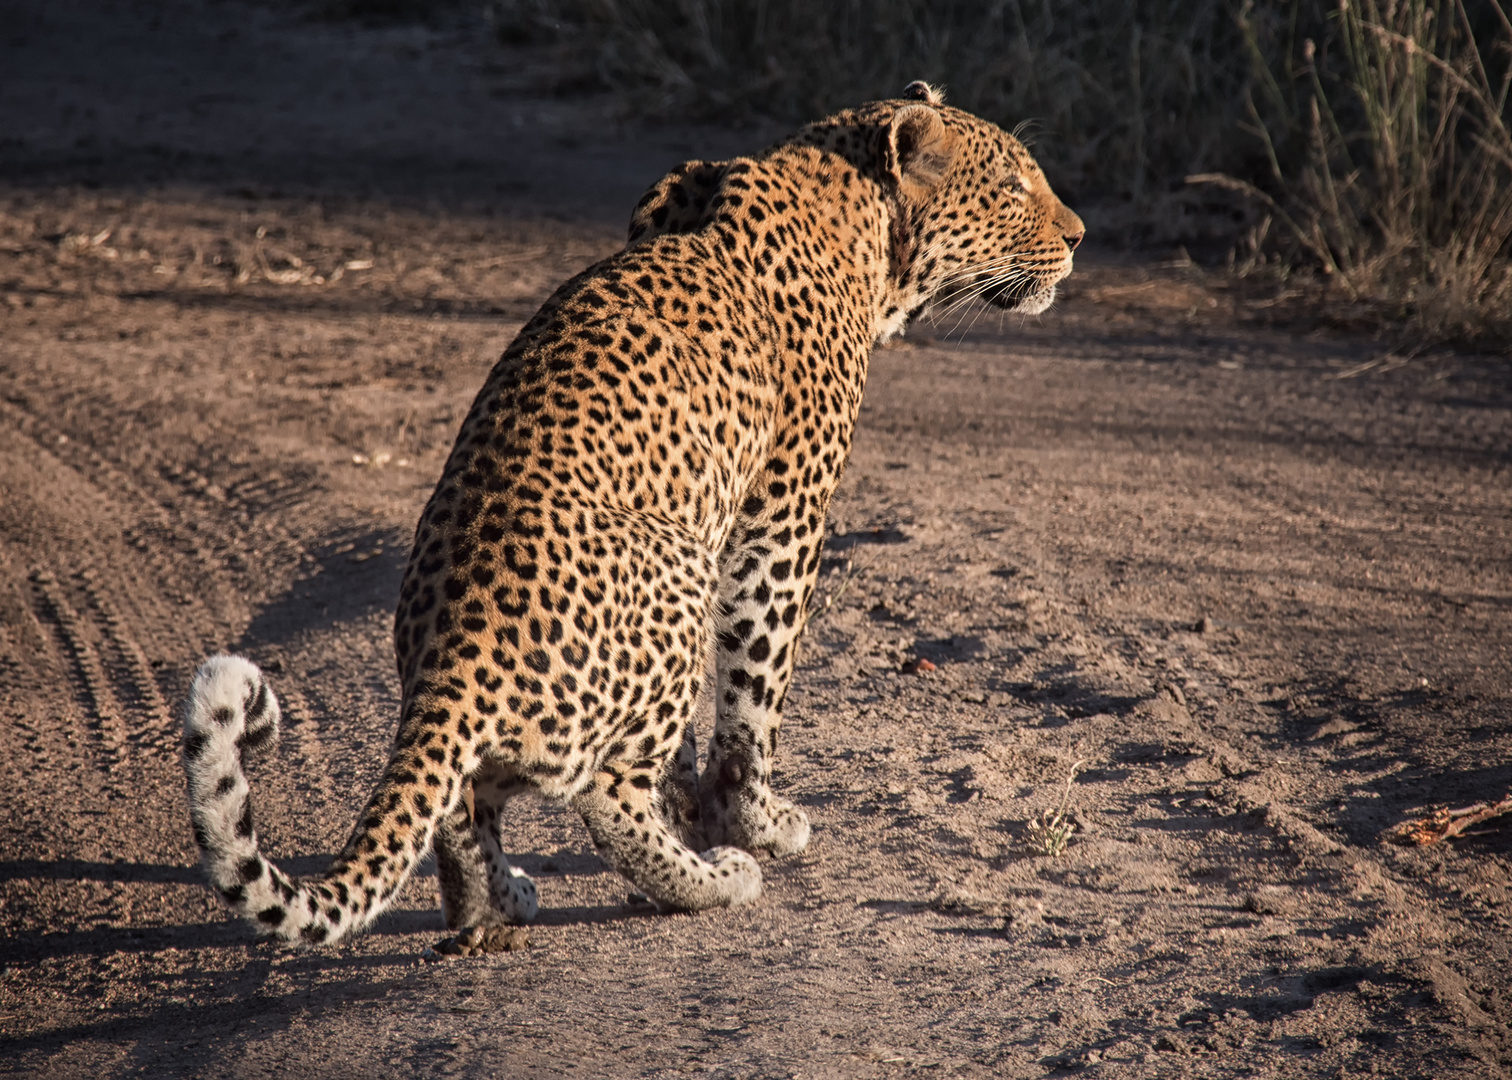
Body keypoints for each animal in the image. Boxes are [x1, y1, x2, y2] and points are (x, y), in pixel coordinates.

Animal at [185, 82, 1088, 943]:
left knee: (466, 804)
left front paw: (695, 800)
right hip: (678, 567)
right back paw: (712, 880)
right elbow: (754, 695)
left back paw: (498, 902)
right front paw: (753, 822)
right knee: (604, 795)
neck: (846, 203)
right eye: (1013, 186)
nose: (1080, 236)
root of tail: (448, 665)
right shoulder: (781, 521)